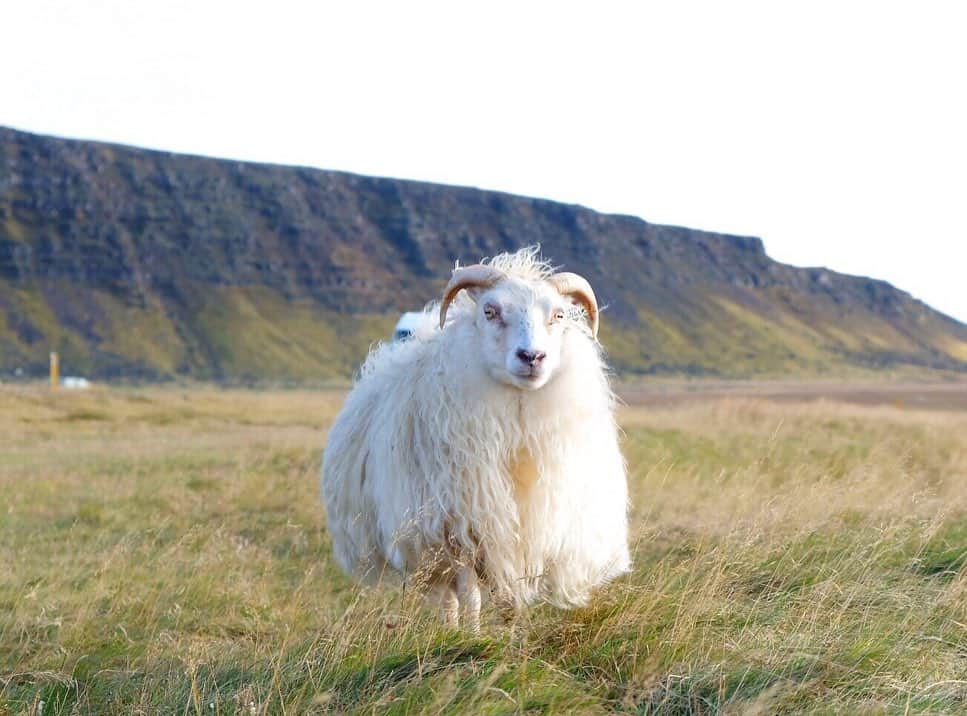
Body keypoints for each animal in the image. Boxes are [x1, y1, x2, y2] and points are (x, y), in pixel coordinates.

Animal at [322, 248, 632, 632]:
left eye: (558, 314)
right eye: (490, 311)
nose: (532, 357)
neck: (517, 433)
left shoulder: (523, 534)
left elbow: (511, 602)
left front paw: (513, 637)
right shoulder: (460, 532)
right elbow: (471, 598)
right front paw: (471, 638)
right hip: (430, 545)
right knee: (449, 598)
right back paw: (452, 630)